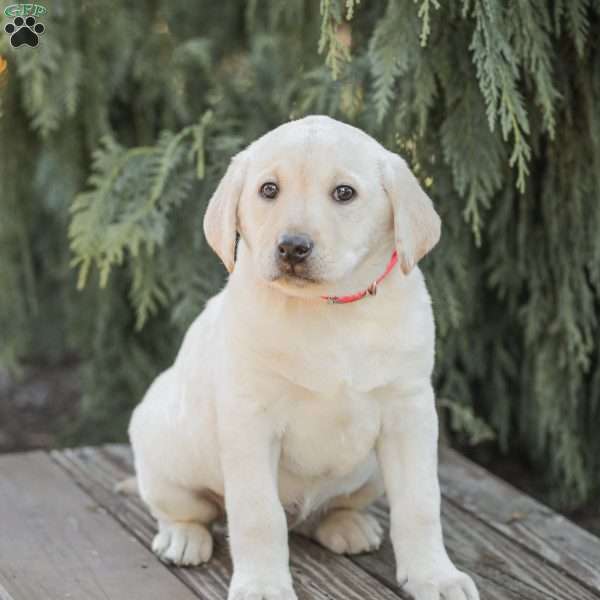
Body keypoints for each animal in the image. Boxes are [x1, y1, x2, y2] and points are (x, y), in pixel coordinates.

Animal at [129, 113, 480, 600]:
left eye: (344, 193)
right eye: (268, 190)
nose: (292, 247)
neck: (328, 310)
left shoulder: (409, 413)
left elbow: (421, 503)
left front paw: (435, 575)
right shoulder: (249, 420)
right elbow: (258, 514)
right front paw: (261, 584)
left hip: (369, 474)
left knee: (328, 512)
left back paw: (347, 525)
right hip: (164, 447)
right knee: (189, 509)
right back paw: (182, 537)